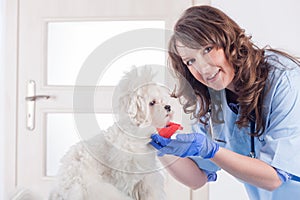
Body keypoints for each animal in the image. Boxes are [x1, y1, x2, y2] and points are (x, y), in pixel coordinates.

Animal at [49, 67, 173, 200]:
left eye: (162, 100)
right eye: (152, 103)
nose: (168, 107)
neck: (136, 133)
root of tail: (60, 189)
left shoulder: (147, 174)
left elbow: (150, 189)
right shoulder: (126, 172)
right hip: (96, 186)